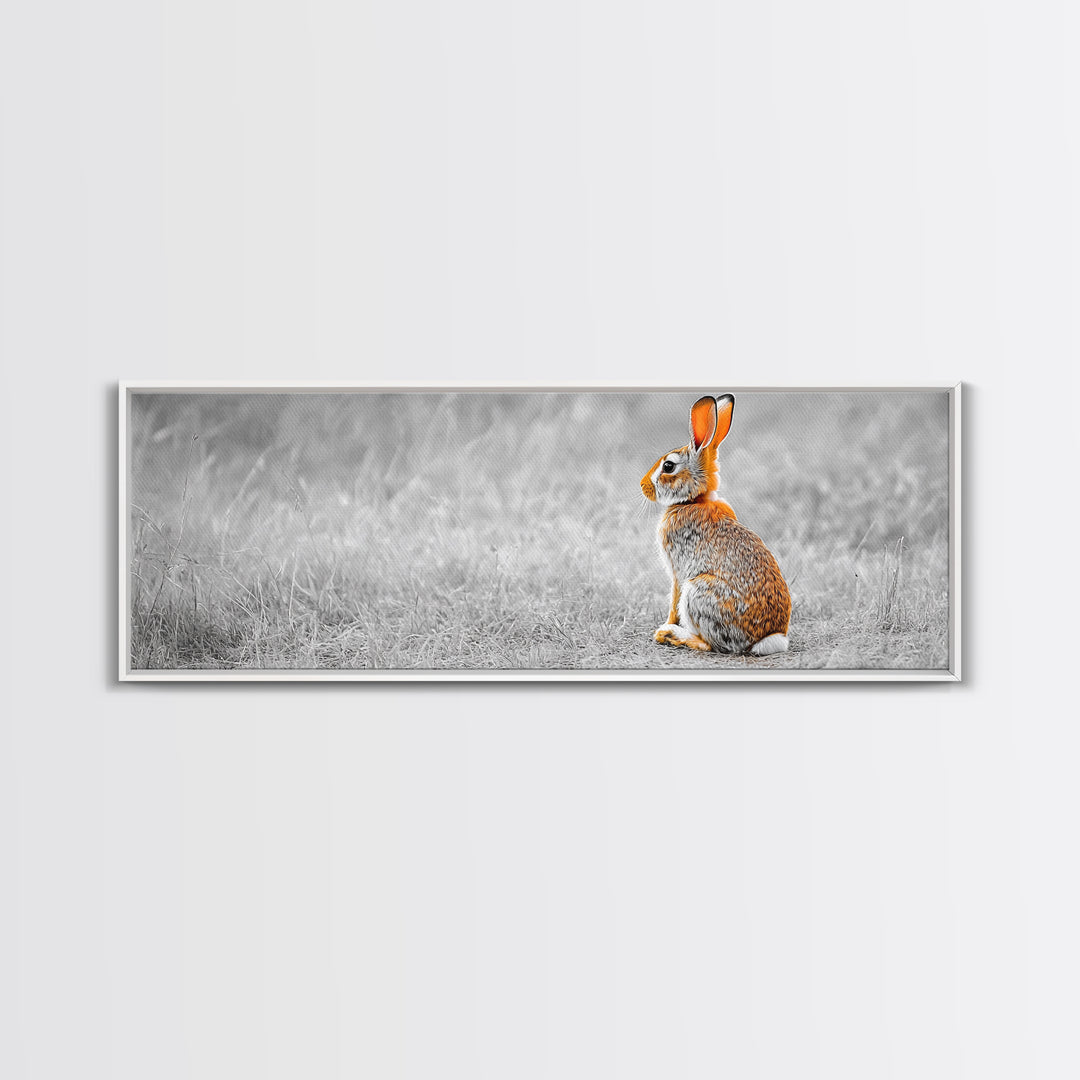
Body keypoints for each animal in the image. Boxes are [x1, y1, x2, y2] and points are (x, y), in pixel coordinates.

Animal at [640, 394, 791, 655]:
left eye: (668, 466)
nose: (642, 485)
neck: (694, 500)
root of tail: (768, 639)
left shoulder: (678, 572)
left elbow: (673, 600)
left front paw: (665, 625)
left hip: (698, 592)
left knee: (711, 644)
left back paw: (671, 635)